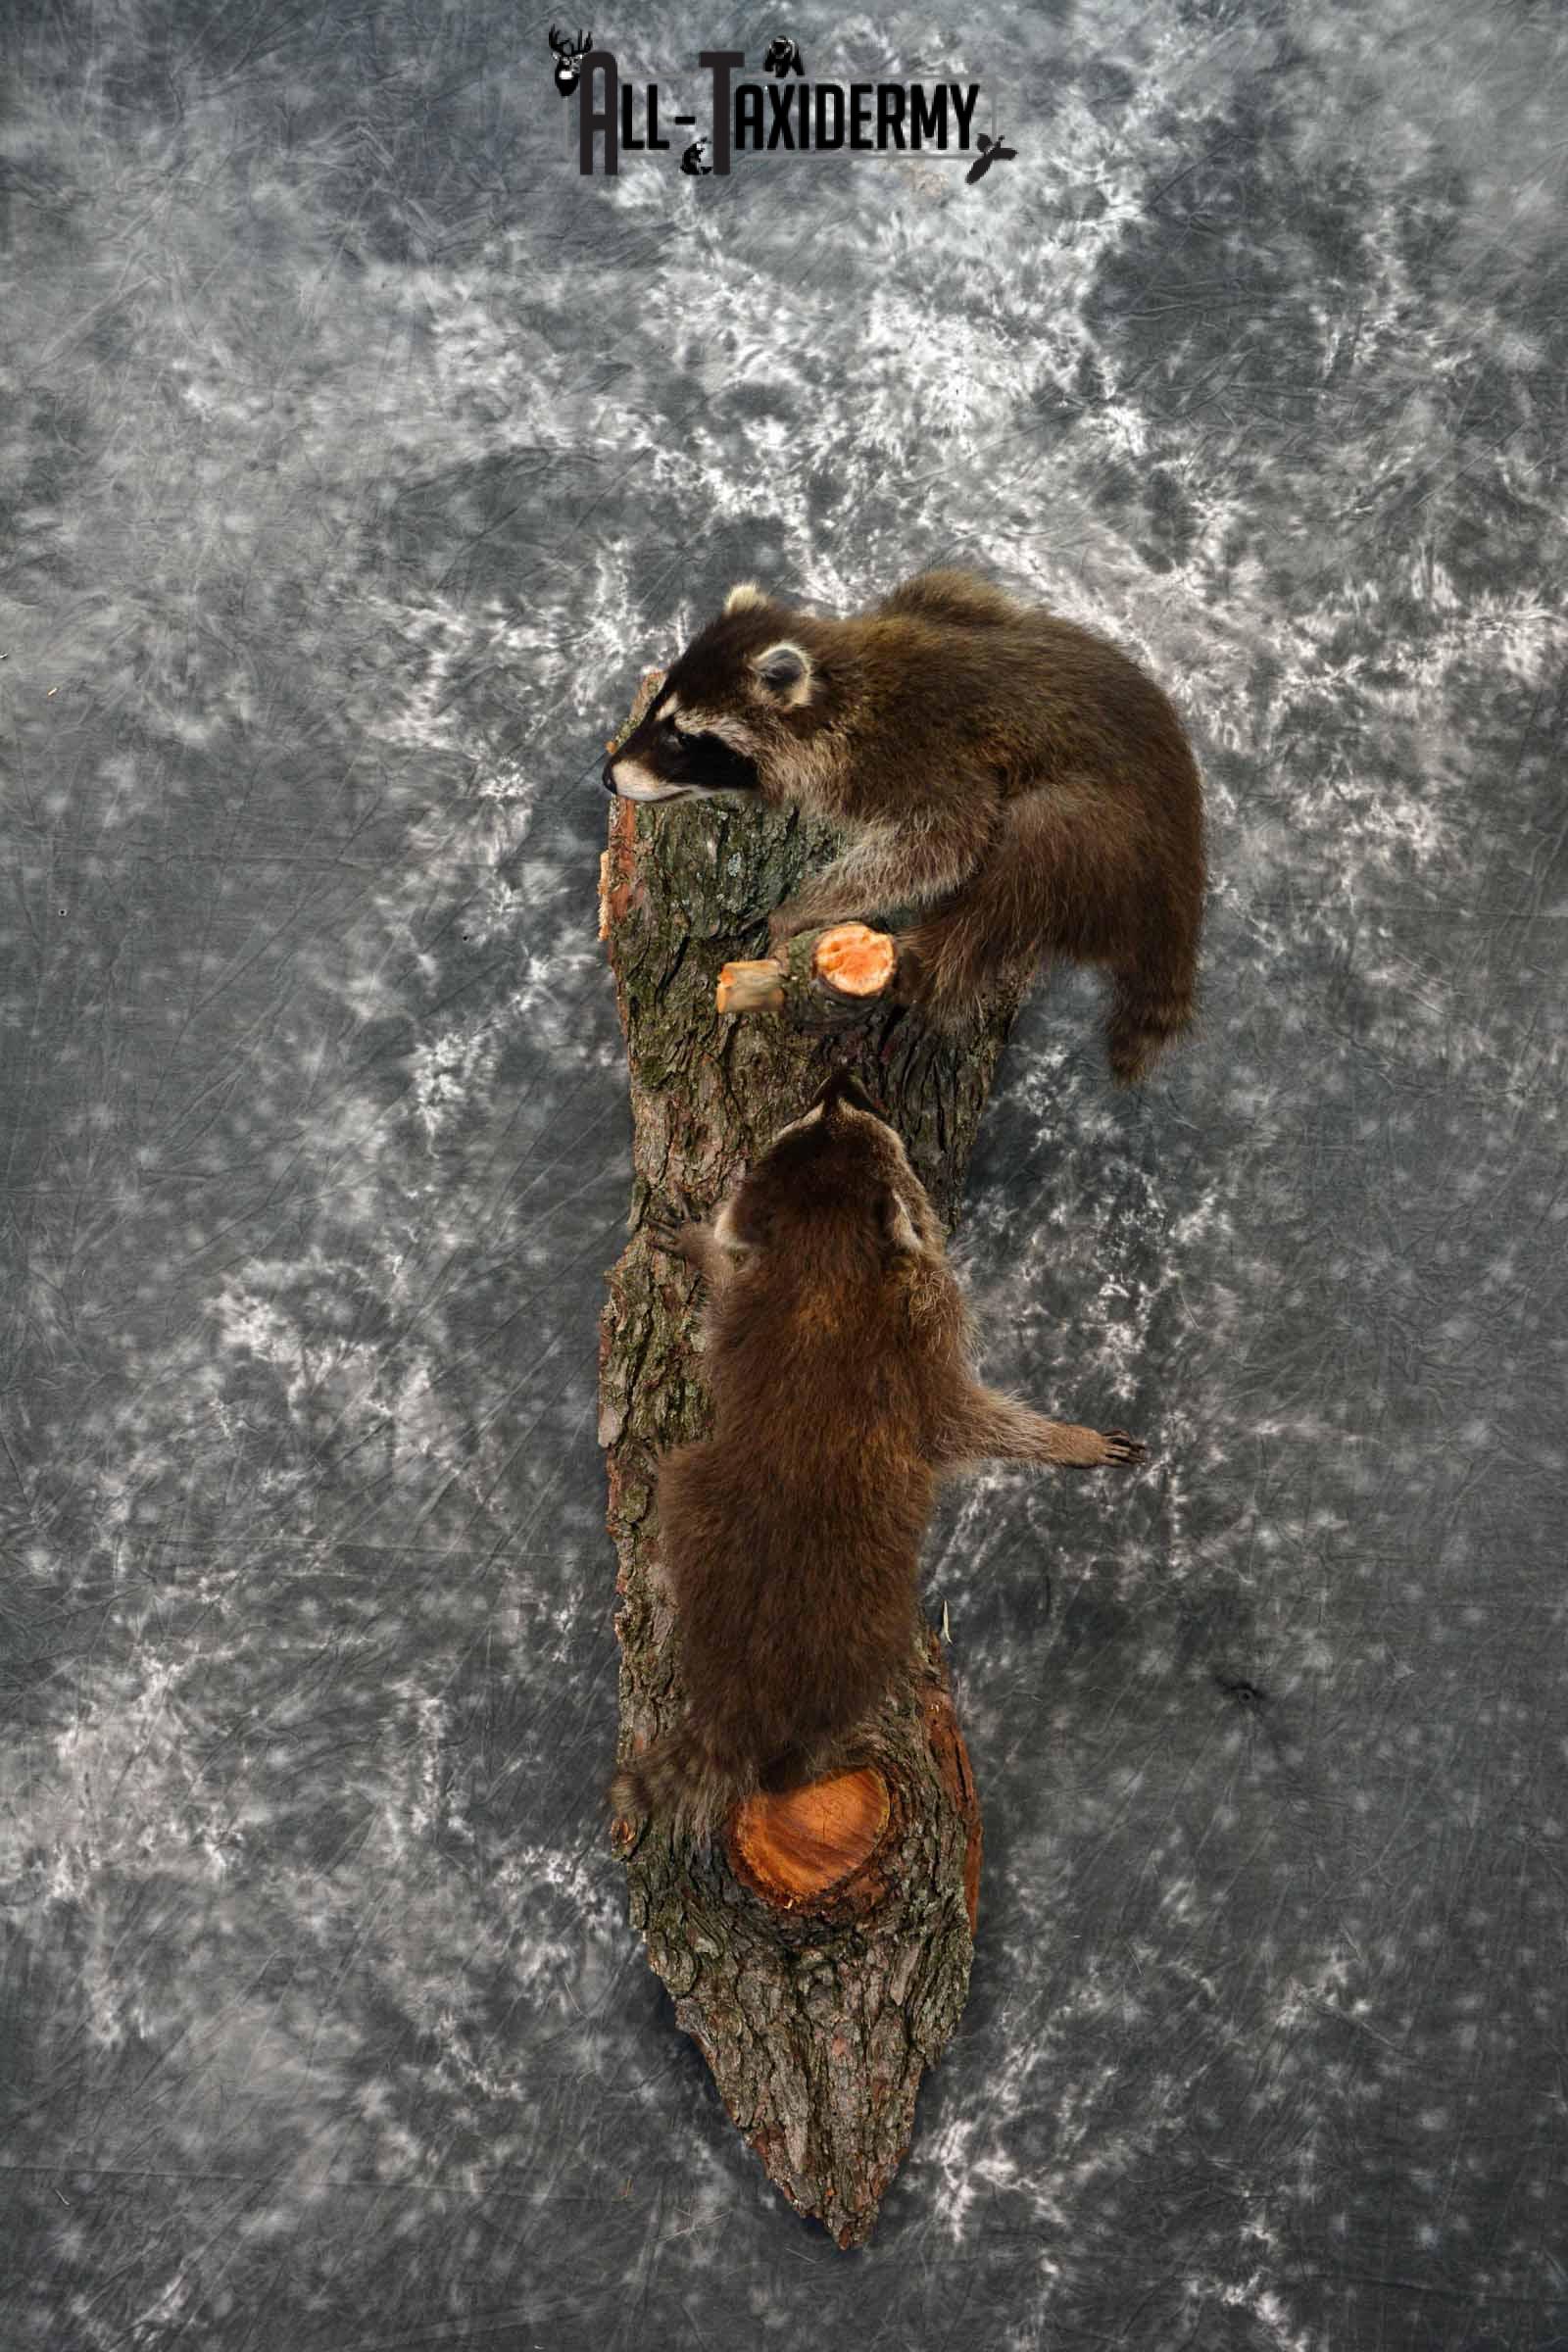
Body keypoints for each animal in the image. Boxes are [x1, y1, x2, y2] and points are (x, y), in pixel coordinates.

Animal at [601, 570, 1205, 1082]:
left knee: (1026, 854)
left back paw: (929, 963)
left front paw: (803, 907)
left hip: (1107, 838)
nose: (607, 778)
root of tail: (1183, 880)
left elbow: (944, 840)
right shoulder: (941, 594)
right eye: (657, 710)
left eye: (683, 737)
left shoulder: (913, 756)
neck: (838, 690)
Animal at [610, 1067, 1145, 1845]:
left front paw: (707, 1251)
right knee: (792, 1759)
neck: (826, 1254)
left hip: (693, 1508)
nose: (838, 1077)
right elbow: (966, 1423)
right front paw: (1062, 1440)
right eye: (833, 1118)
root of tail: (738, 1693)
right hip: (860, 1641)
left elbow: (729, 1284)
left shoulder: (756, 1301)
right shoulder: (924, 1335)